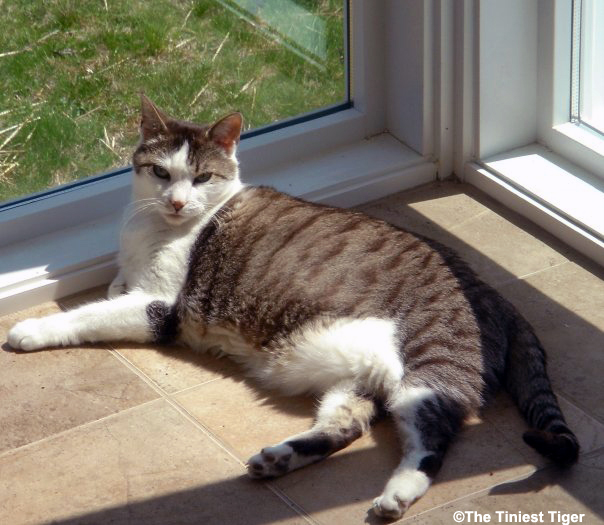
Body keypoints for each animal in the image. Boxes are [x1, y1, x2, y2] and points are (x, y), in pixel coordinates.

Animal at [5, 95, 580, 520]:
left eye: (202, 178)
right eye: (160, 173)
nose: (177, 202)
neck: (151, 228)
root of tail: (492, 291)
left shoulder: (161, 306)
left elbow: (85, 315)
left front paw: (29, 330)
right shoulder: (132, 281)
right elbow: (112, 290)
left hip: (430, 369)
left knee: (433, 439)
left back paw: (394, 496)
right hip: (362, 378)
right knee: (348, 425)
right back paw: (279, 458)